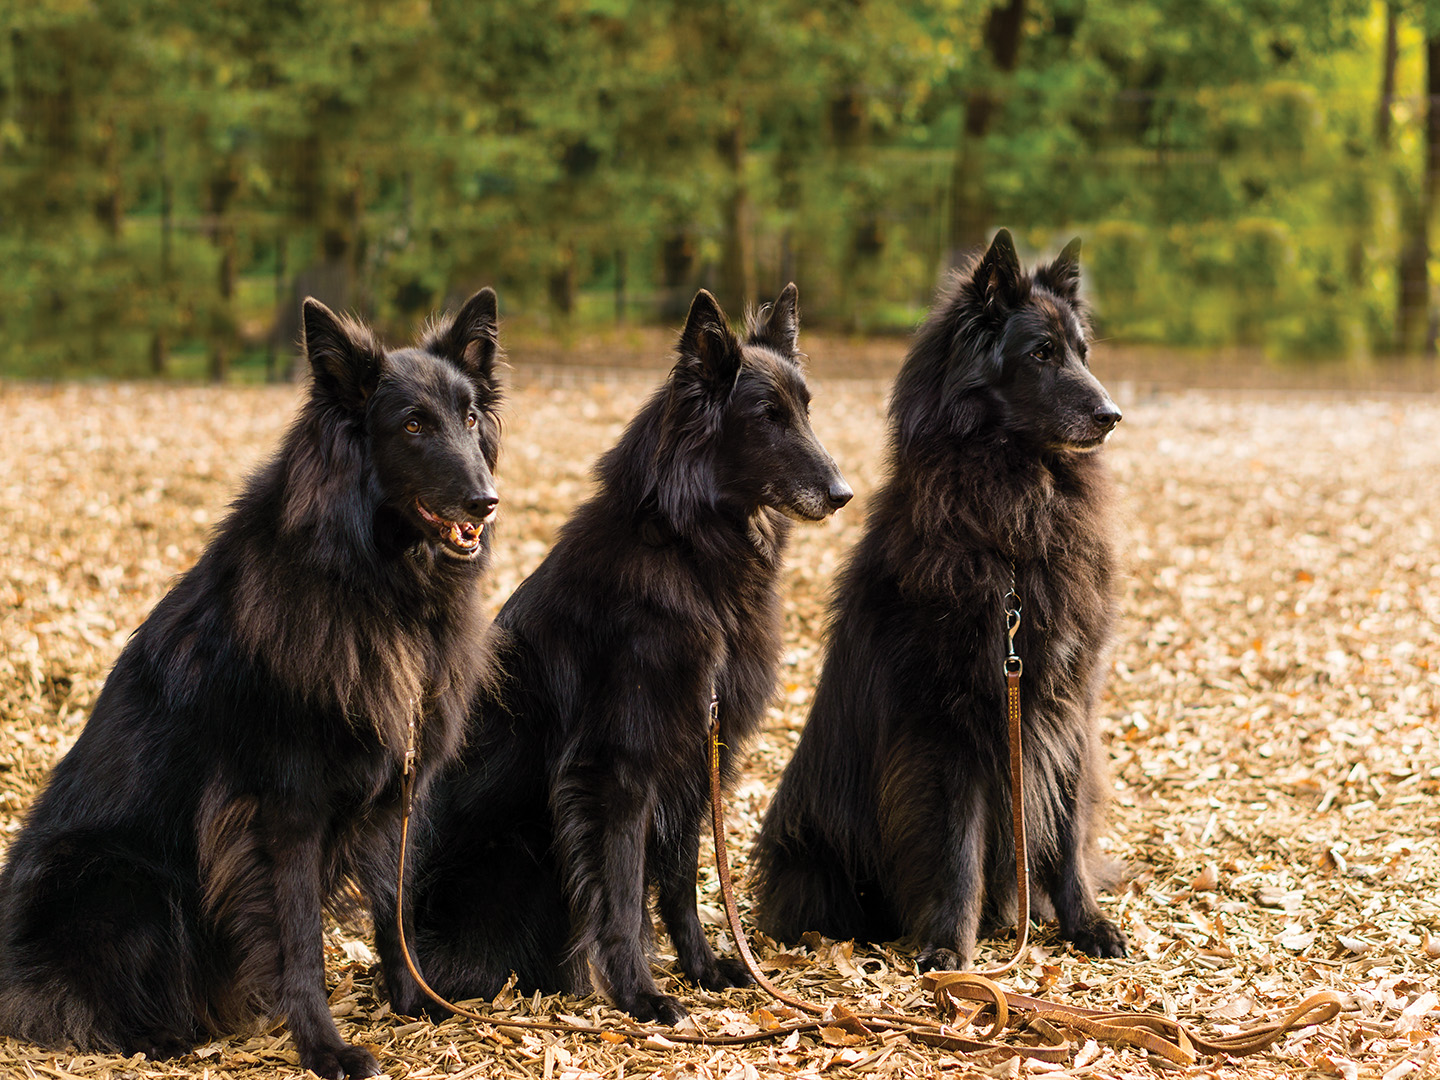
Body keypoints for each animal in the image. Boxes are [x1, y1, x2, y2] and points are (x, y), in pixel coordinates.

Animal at [0, 292, 506, 1077]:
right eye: (414, 425)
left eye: (472, 418)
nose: (486, 501)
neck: (374, 587)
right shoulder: (282, 811)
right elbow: (299, 942)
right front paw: (324, 1048)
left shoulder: (396, 799)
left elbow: (393, 911)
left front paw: (416, 1003)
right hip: (122, 880)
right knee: (65, 999)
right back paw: (159, 1037)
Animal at [403, 285, 852, 1025]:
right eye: (768, 419)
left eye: (807, 411)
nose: (844, 495)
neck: (690, 549)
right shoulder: (617, 768)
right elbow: (617, 889)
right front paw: (639, 993)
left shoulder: (696, 759)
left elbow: (680, 882)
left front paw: (702, 969)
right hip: (520, 853)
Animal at [748, 228, 1128, 973]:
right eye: (1041, 352)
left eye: (1082, 352)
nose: (1111, 415)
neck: (1014, 531)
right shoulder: (945, 724)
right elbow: (956, 848)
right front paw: (951, 946)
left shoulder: (1069, 703)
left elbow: (1068, 829)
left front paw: (1087, 924)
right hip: (811, 858)